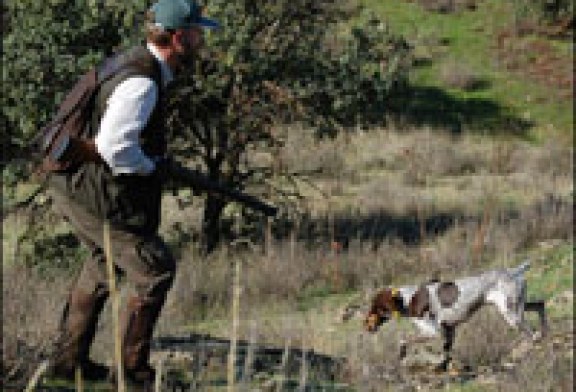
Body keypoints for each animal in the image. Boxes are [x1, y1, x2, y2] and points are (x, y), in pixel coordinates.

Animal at [362, 260, 548, 370]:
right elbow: (446, 354)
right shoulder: (449, 331)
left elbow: (403, 340)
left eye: (376, 308)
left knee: (532, 335)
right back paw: (545, 332)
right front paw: (443, 367)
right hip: (516, 307)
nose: (365, 325)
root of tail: (515, 270)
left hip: (511, 313)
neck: (408, 299)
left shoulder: (434, 332)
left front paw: (402, 354)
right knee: (540, 305)